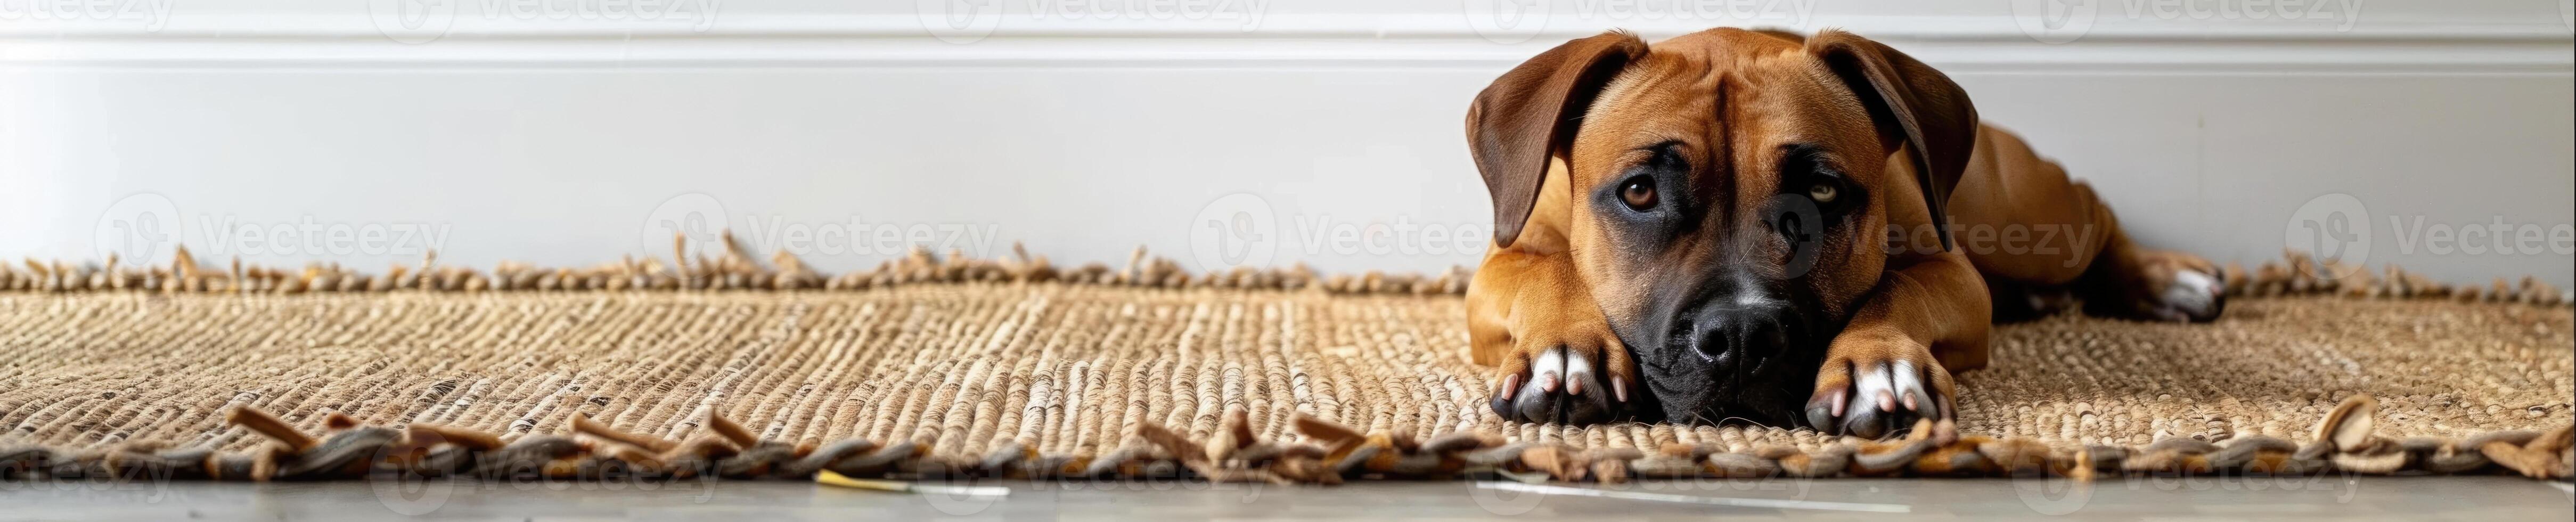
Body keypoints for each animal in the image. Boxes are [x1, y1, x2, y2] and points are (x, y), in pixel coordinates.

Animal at [1463, 28, 2226, 437]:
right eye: (1639, 192)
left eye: (1822, 193)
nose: (1742, 332)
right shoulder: (1500, 265)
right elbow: (1549, 269)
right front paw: (1569, 350)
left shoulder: (1953, 276)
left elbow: (1897, 291)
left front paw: (1875, 365)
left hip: (2029, 216)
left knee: (2096, 213)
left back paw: (2165, 279)